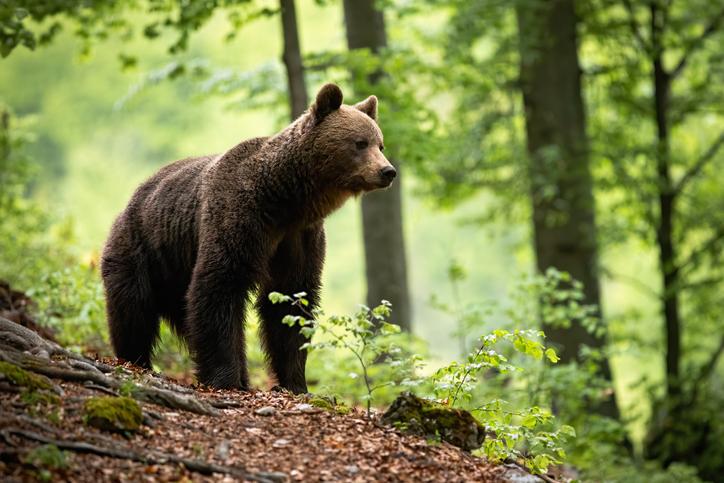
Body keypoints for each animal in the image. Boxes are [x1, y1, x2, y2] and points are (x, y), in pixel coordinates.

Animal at [100, 83, 396, 394]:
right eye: (360, 143)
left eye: (380, 144)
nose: (388, 171)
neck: (286, 200)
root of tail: (132, 199)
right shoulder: (240, 220)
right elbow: (219, 287)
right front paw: (225, 378)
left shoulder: (299, 238)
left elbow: (291, 302)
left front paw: (295, 382)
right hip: (140, 249)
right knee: (133, 309)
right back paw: (136, 359)